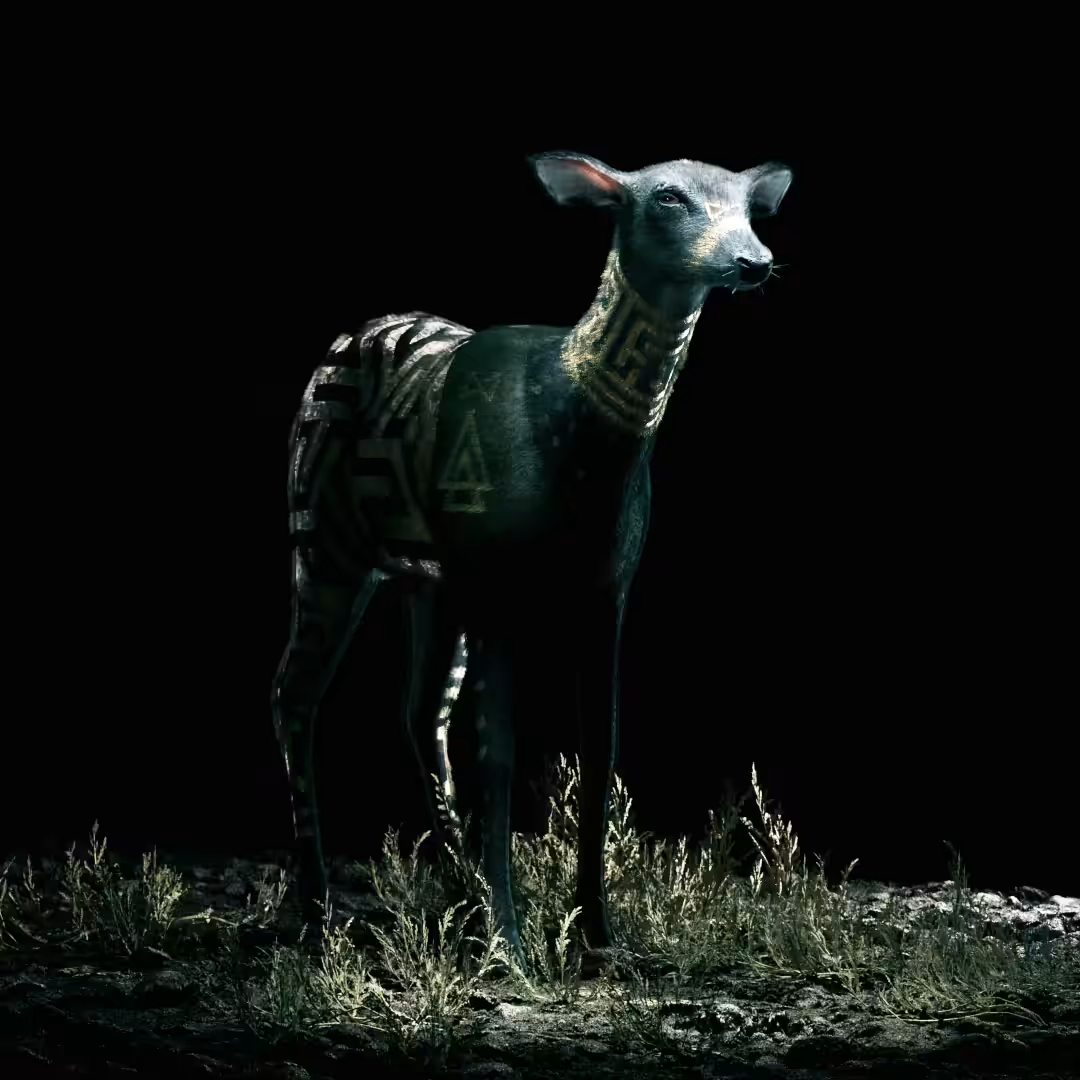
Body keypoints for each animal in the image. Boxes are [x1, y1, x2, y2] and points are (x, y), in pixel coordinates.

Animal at [272, 150, 792, 970]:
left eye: (748, 205)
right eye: (668, 197)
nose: (754, 261)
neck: (577, 449)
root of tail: (353, 335)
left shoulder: (607, 587)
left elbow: (600, 749)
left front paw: (599, 938)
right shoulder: (495, 578)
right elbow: (501, 756)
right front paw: (509, 942)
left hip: (427, 580)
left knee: (417, 713)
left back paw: (454, 891)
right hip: (323, 533)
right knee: (296, 693)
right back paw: (322, 914)